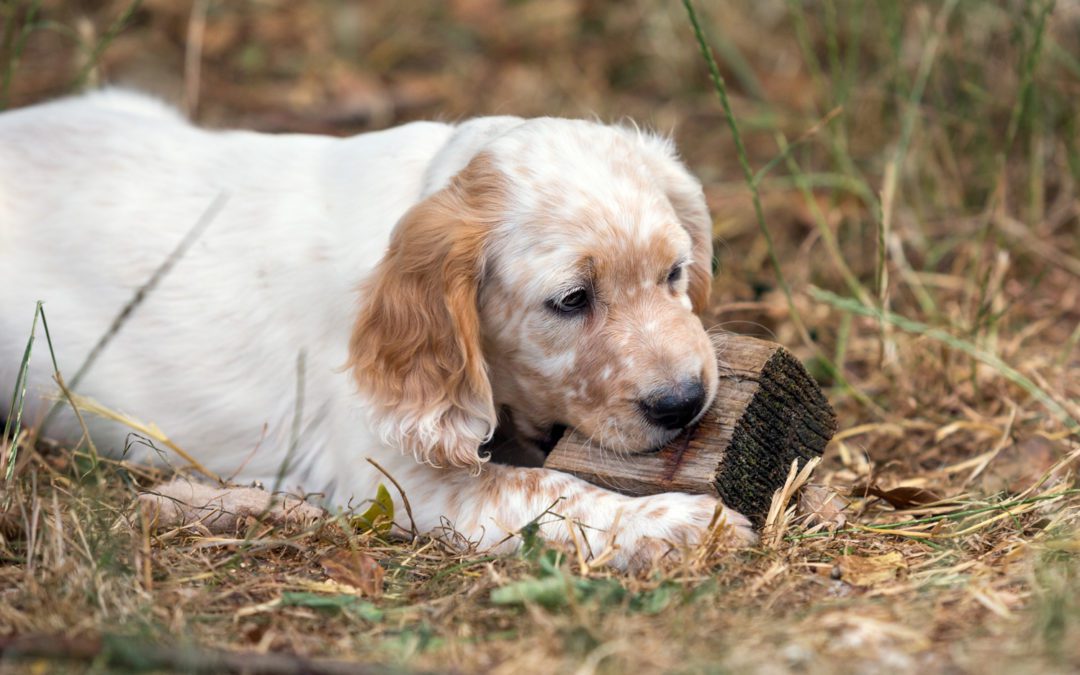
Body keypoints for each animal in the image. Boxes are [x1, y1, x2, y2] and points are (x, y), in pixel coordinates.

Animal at [0, 90, 751, 570]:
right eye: (571, 300)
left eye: (675, 272)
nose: (684, 402)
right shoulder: (401, 476)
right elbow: (550, 490)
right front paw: (684, 524)